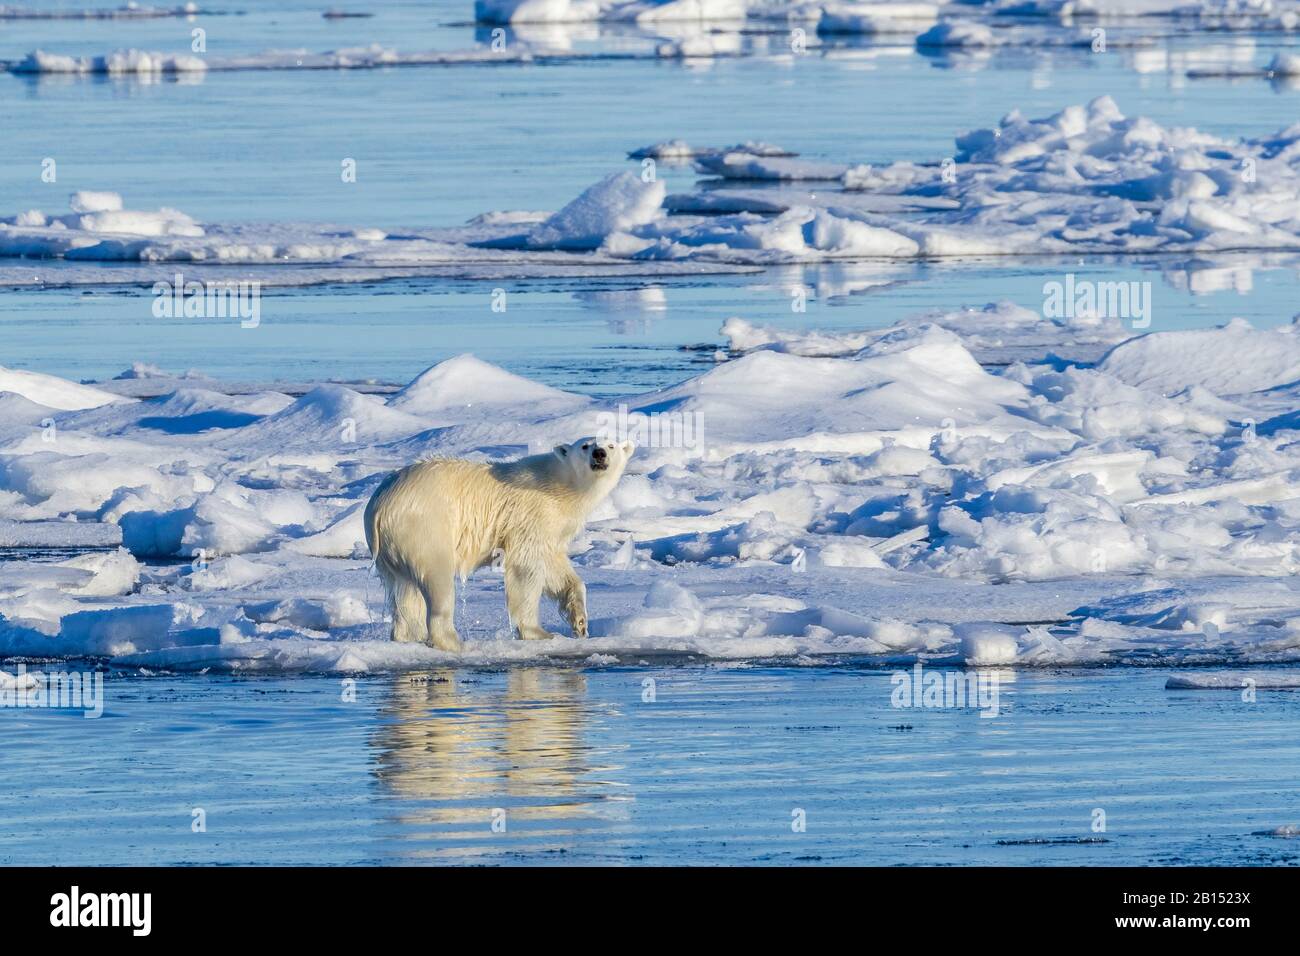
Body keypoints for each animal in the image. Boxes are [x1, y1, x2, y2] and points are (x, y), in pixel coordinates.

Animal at [364, 439, 631, 650]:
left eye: (611, 444)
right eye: (586, 445)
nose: (599, 454)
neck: (559, 485)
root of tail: (378, 506)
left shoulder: (552, 529)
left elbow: (555, 567)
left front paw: (580, 622)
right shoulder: (532, 513)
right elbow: (526, 567)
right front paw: (539, 632)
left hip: (394, 547)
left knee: (405, 591)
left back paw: (407, 636)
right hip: (424, 527)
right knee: (437, 580)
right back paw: (454, 641)